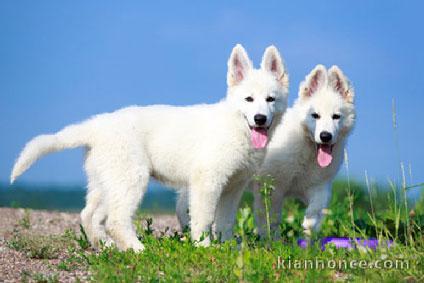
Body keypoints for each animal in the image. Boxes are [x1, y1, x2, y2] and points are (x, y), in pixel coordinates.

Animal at [10, 44, 288, 253]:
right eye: (248, 99)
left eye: (270, 99)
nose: (260, 119)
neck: (236, 126)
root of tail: (96, 125)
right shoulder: (207, 182)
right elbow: (203, 220)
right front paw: (204, 247)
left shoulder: (233, 186)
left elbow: (226, 221)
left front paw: (228, 247)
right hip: (132, 178)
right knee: (116, 220)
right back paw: (137, 250)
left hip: (107, 182)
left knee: (89, 215)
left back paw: (107, 247)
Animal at [253, 66, 356, 240]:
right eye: (315, 116)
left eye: (336, 117)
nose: (325, 136)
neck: (308, 149)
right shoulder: (271, 187)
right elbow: (271, 219)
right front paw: (273, 241)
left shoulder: (319, 187)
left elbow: (313, 216)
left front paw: (308, 240)